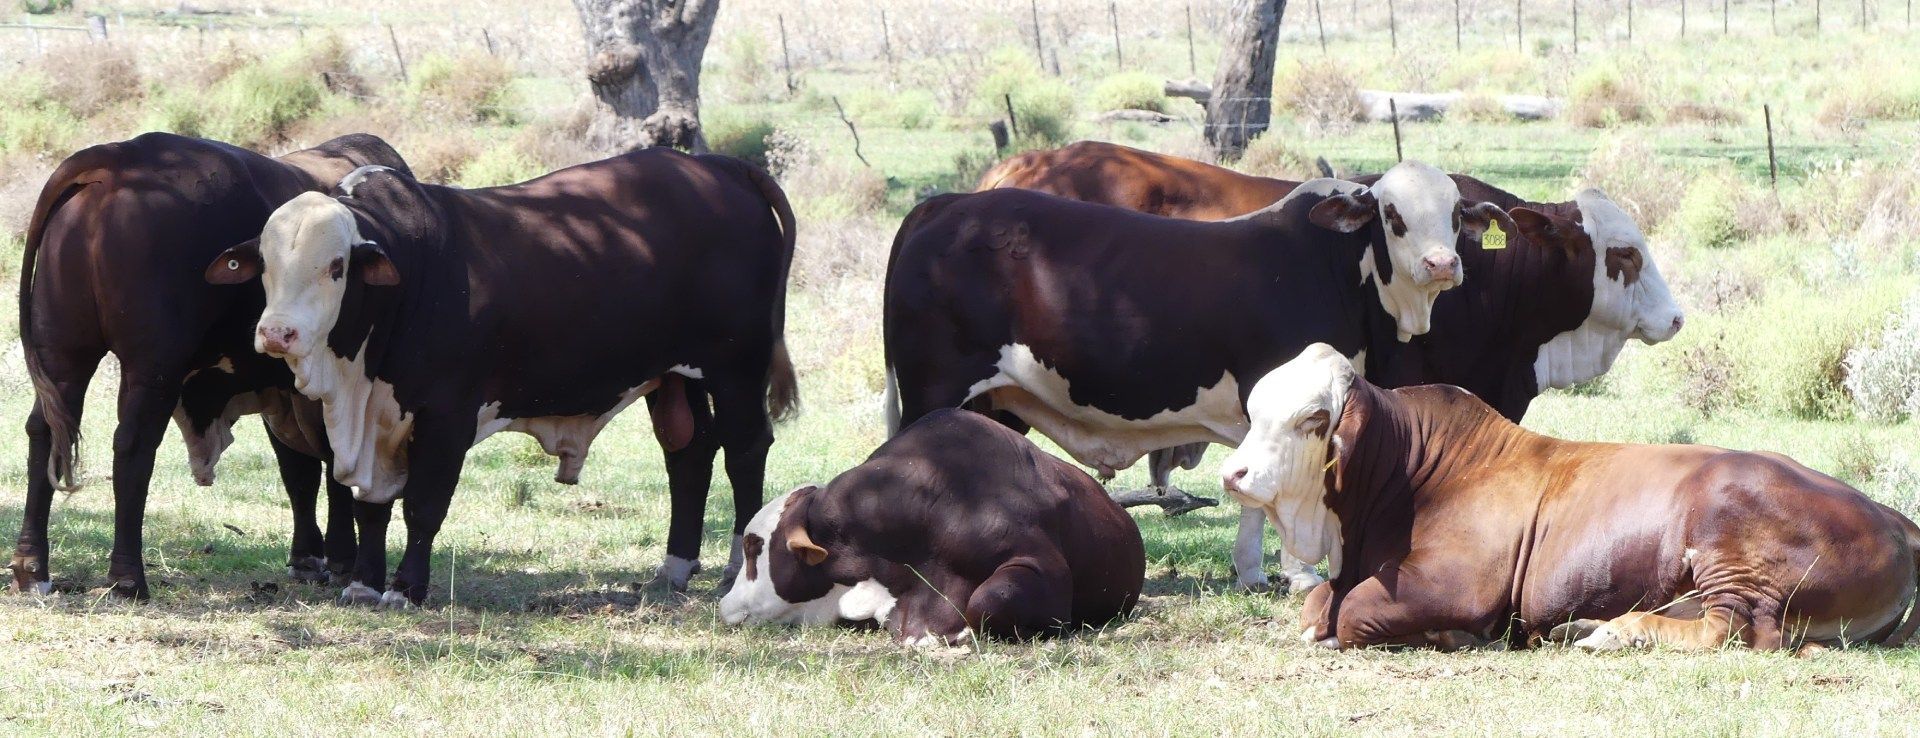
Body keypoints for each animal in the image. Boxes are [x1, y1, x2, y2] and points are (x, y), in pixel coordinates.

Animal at [13, 132, 413, 599]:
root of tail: (118, 157)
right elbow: (331, 468)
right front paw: (341, 558)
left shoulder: (283, 390)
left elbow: (300, 471)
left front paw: (309, 557)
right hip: (153, 367)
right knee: (132, 445)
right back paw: (127, 578)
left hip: (62, 354)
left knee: (44, 431)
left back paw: (32, 568)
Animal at [206, 149, 798, 605]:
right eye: (266, 264)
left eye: (336, 267)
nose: (278, 333)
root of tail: (715, 164)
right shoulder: (375, 425)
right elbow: (369, 507)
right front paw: (363, 585)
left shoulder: (447, 416)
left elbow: (423, 506)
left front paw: (405, 588)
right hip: (678, 376)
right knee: (689, 454)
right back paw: (674, 568)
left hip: (736, 369)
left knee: (745, 451)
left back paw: (736, 568)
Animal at [884, 161, 1510, 594]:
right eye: (1393, 216)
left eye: (1456, 214)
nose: (1442, 264)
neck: (1334, 268)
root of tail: (942, 207)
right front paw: (1299, 575)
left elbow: (1256, 487)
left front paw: (1253, 572)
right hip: (932, 393)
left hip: (995, 404)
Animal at [1220, 344, 1920, 651]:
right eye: (1253, 409)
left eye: (1313, 418)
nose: (1234, 474)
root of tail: (1892, 516)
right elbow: (1319, 602)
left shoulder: (1456, 584)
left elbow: (1352, 611)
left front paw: (1449, 634)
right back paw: (1590, 625)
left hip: (1733, 546)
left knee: (1735, 631)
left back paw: (1617, 634)